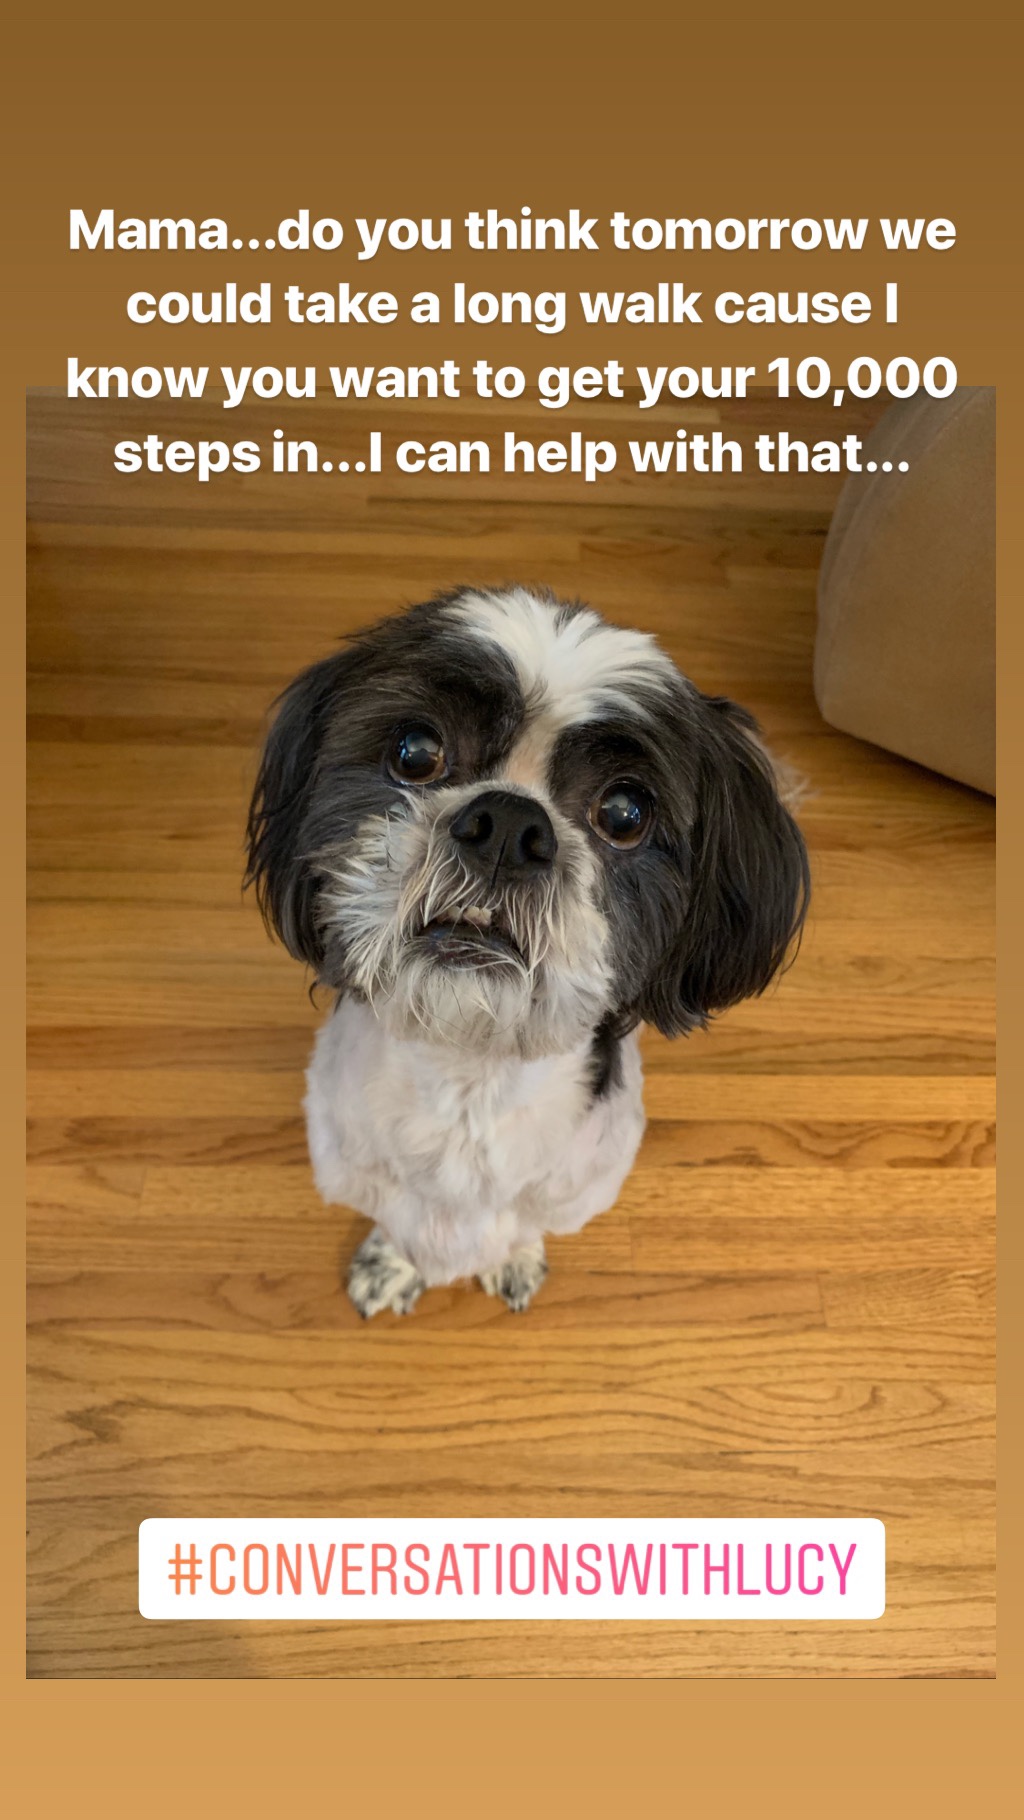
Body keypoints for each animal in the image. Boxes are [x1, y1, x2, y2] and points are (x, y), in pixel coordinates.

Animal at [245, 586, 808, 1316]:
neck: (471, 1081)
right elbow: (399, 1228)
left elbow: (522, 1228)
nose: (508, 825)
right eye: (414, 751)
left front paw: (513, 1257)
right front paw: (394, 1262)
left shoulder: (576, 1188)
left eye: (625, 814)